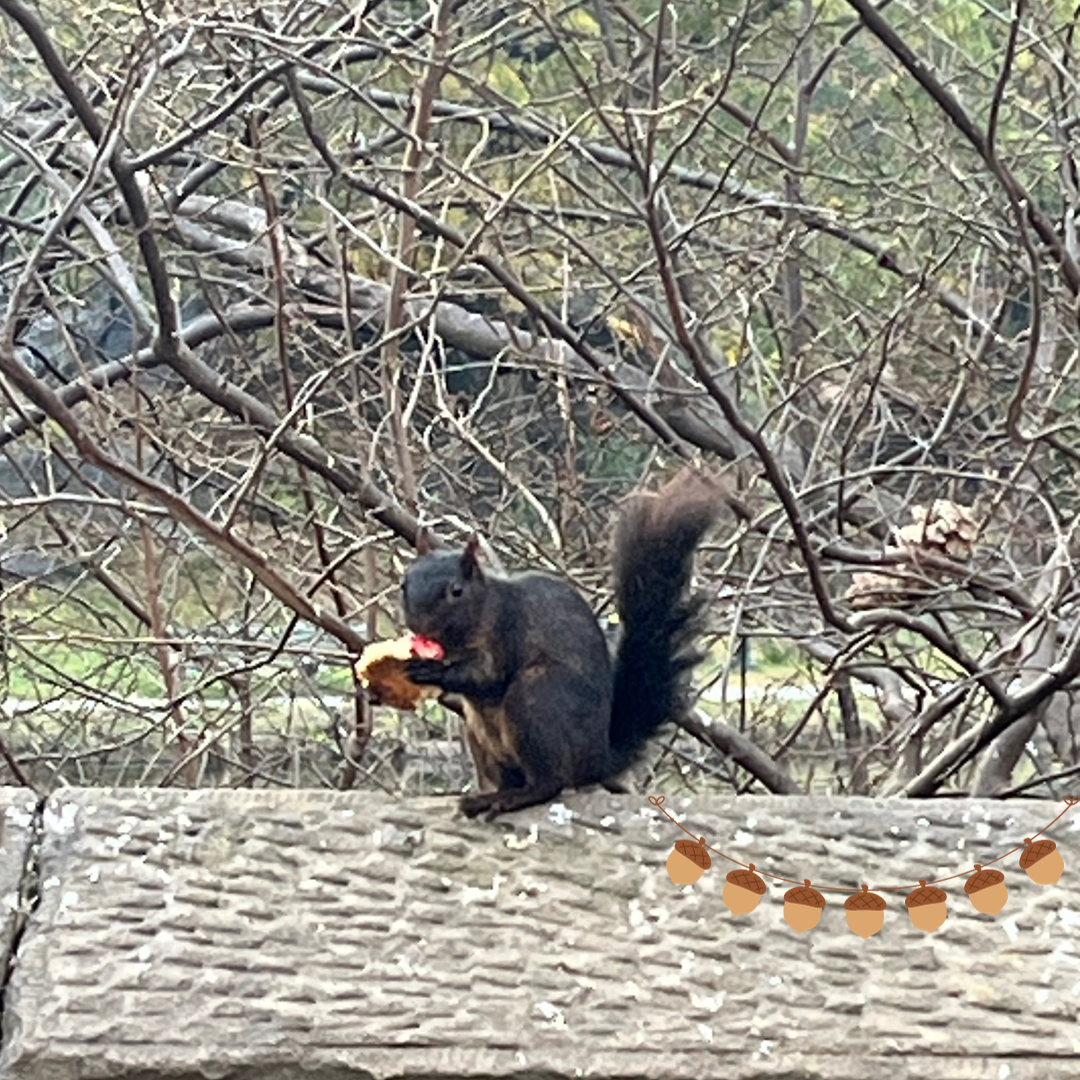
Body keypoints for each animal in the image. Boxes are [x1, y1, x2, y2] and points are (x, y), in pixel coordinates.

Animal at [401, 468, 725, 820]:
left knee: (550, 783)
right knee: (512, 778)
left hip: (536, 699)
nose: (417, 624)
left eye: (456, 591)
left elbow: (487, 675)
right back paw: (486, 798)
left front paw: (432, 671)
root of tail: (598, 760)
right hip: (480, 736)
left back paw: (515, 798)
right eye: (404, 583)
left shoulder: (505, 632)